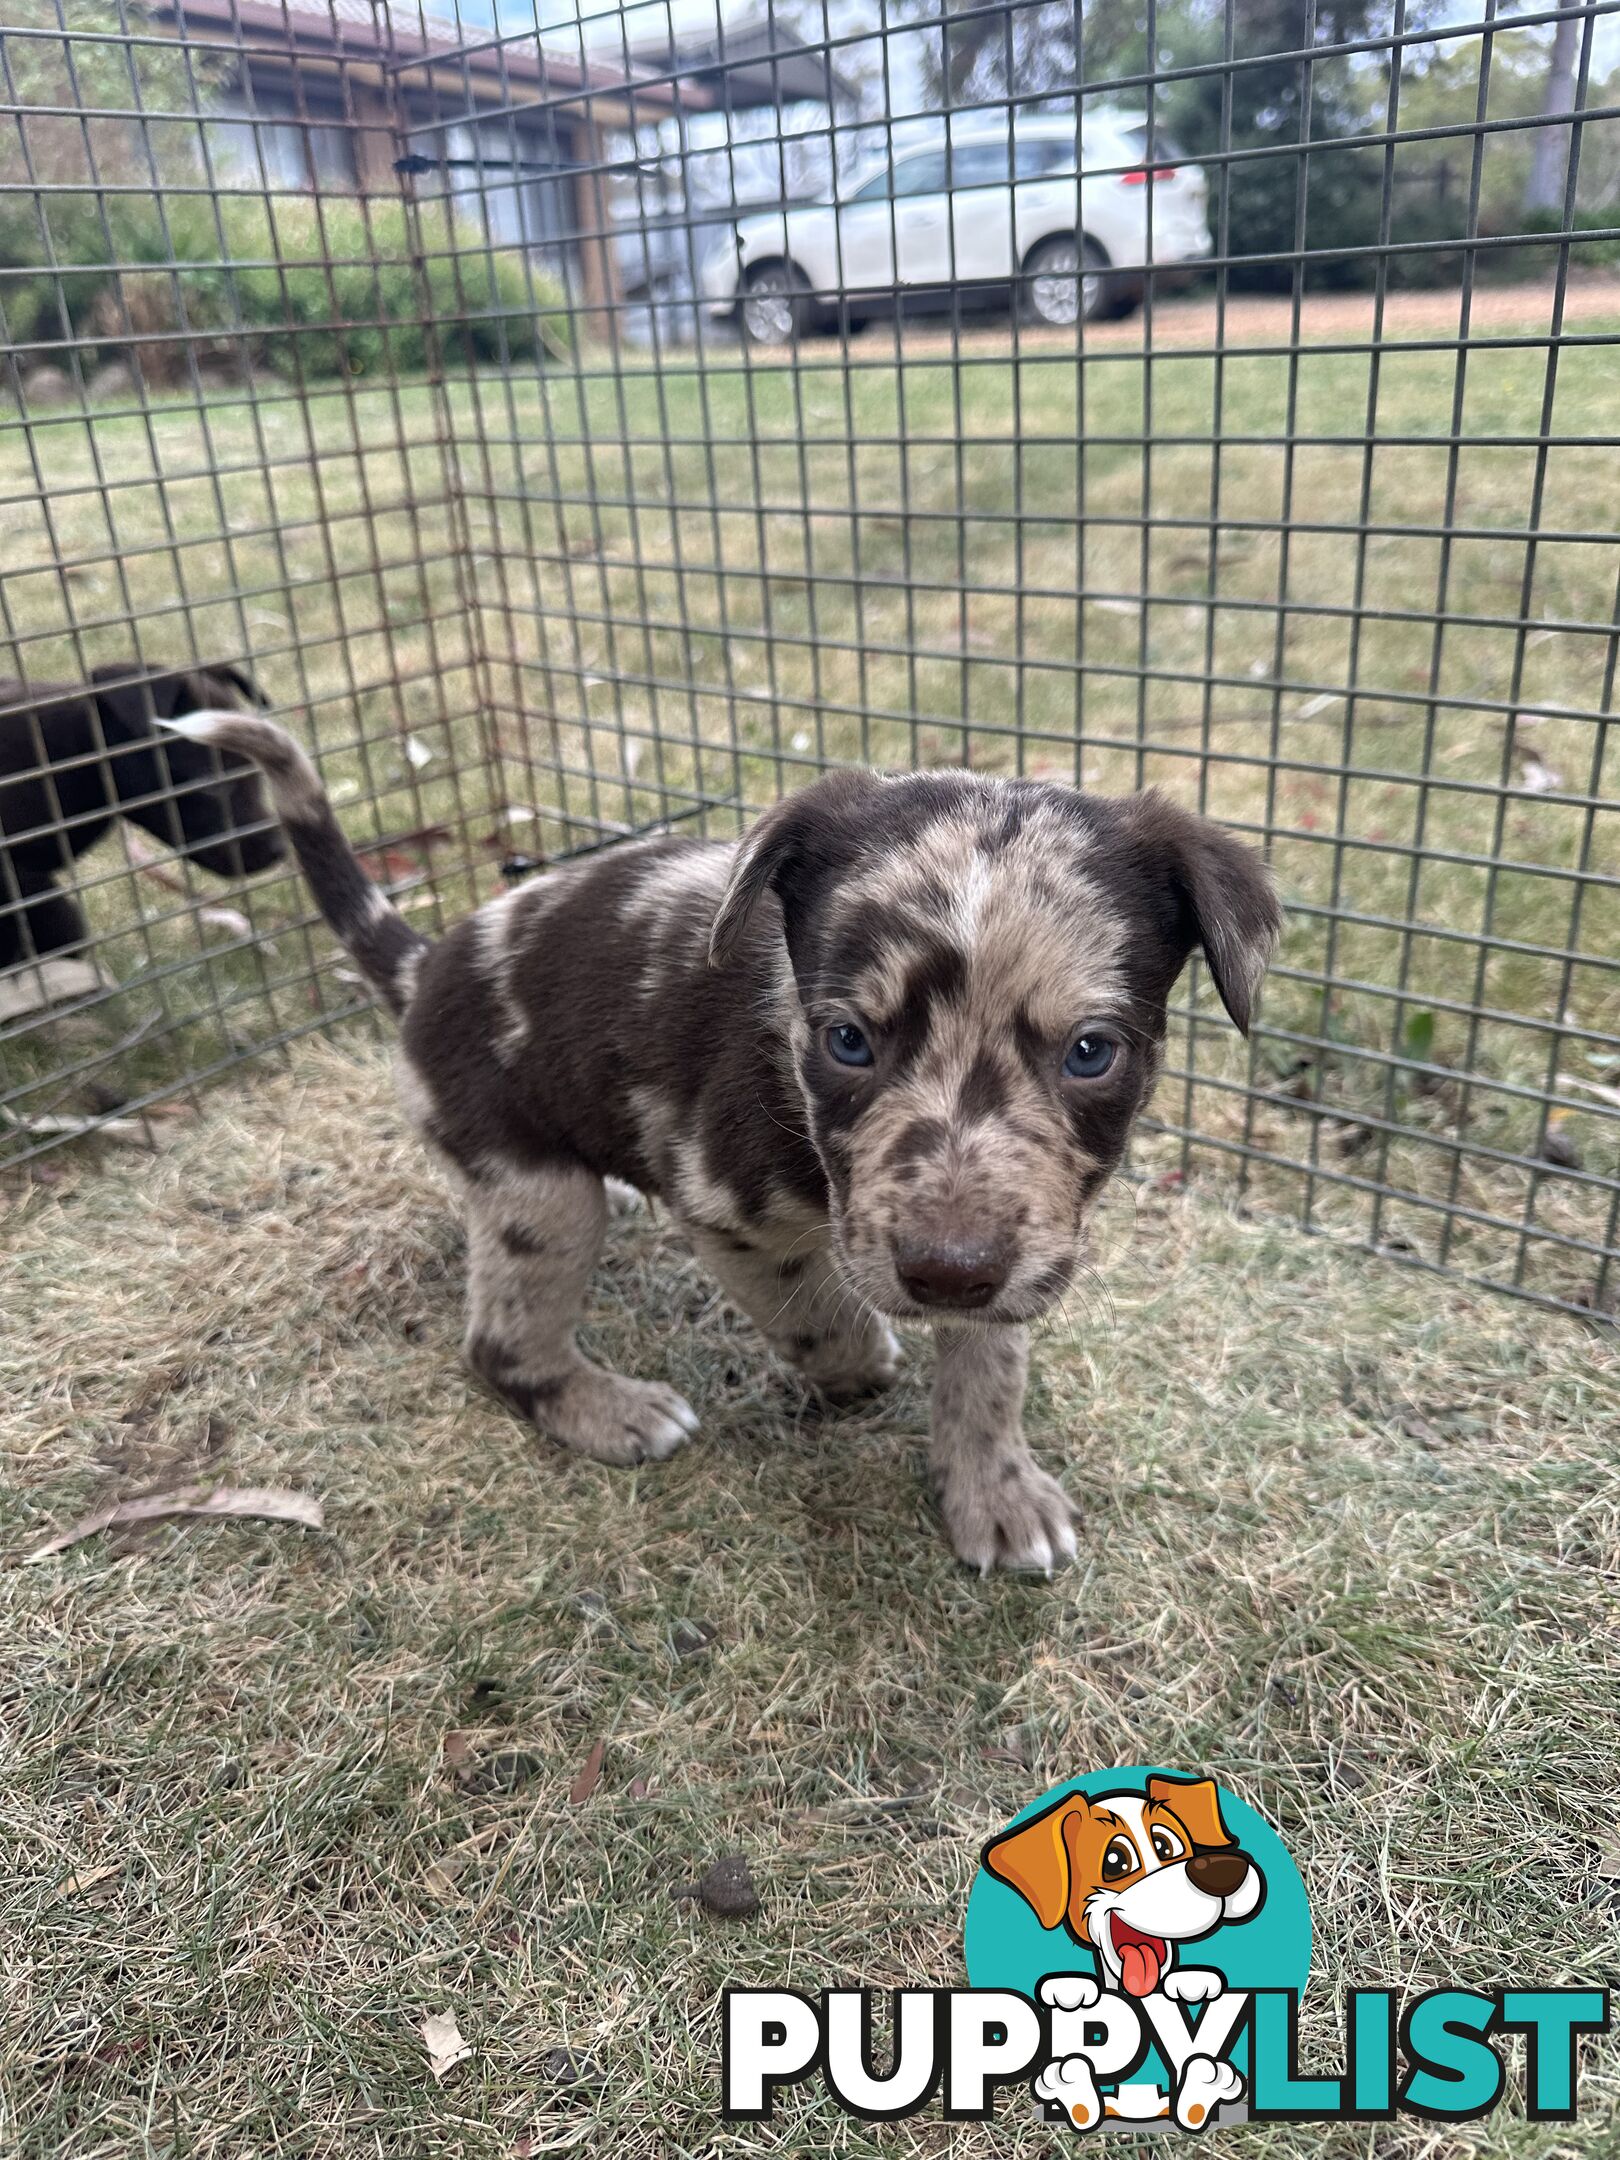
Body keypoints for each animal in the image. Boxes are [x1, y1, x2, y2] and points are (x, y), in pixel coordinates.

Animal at [165, 708, 1278, 1572]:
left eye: (1092, 1052)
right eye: (846, 1040)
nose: (944, 1274)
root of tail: (426, 960)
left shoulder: (1020, 1236)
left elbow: (991, 1362)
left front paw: (994, 1490)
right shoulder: (728, 1208)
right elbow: (823, 1318)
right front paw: (862, 1365)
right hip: (535, 1191)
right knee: (500, 1345)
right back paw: (606, 1408)